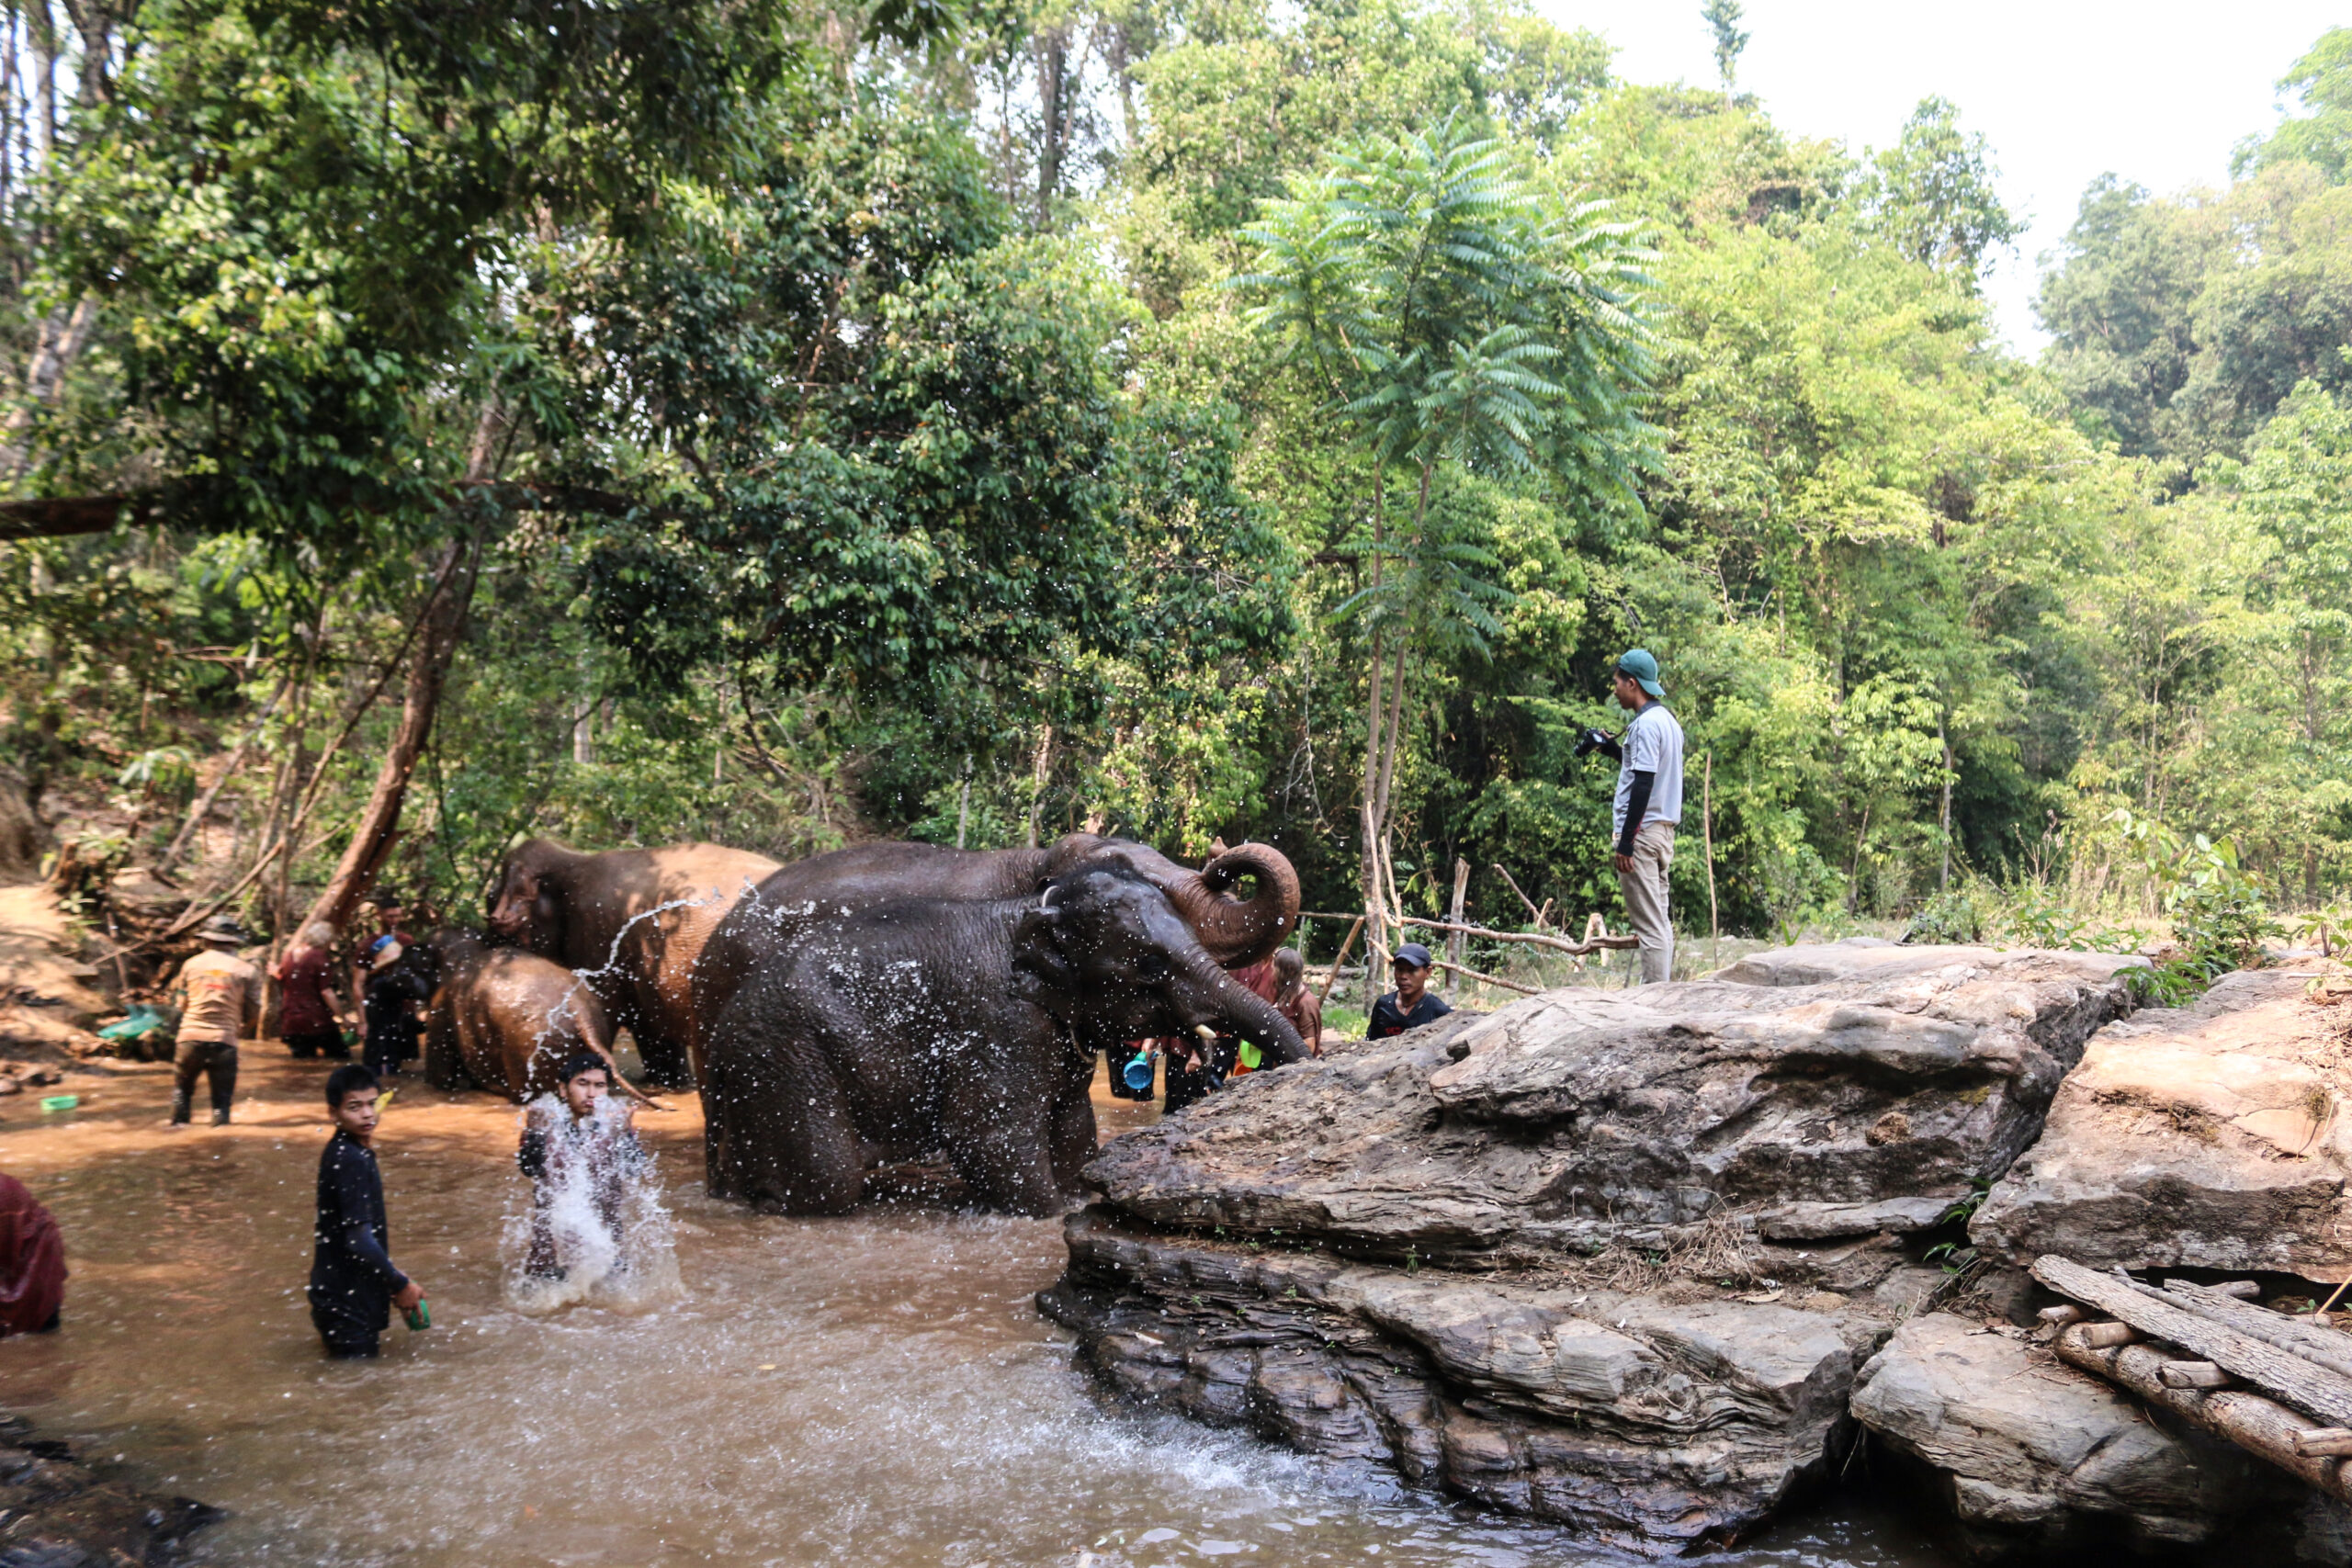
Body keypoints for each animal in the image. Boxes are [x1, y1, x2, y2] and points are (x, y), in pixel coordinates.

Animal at [701, 861, 1308, 1216]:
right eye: (1149, 968)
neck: (1030, 910)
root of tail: (718, 1034)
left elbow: (1073, 1128)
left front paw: (1079, 1191)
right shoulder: (999, 1024)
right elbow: (988, 1137)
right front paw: (1056, 1211)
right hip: (785, 1057)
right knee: (831, 1180)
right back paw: (773, 1203)